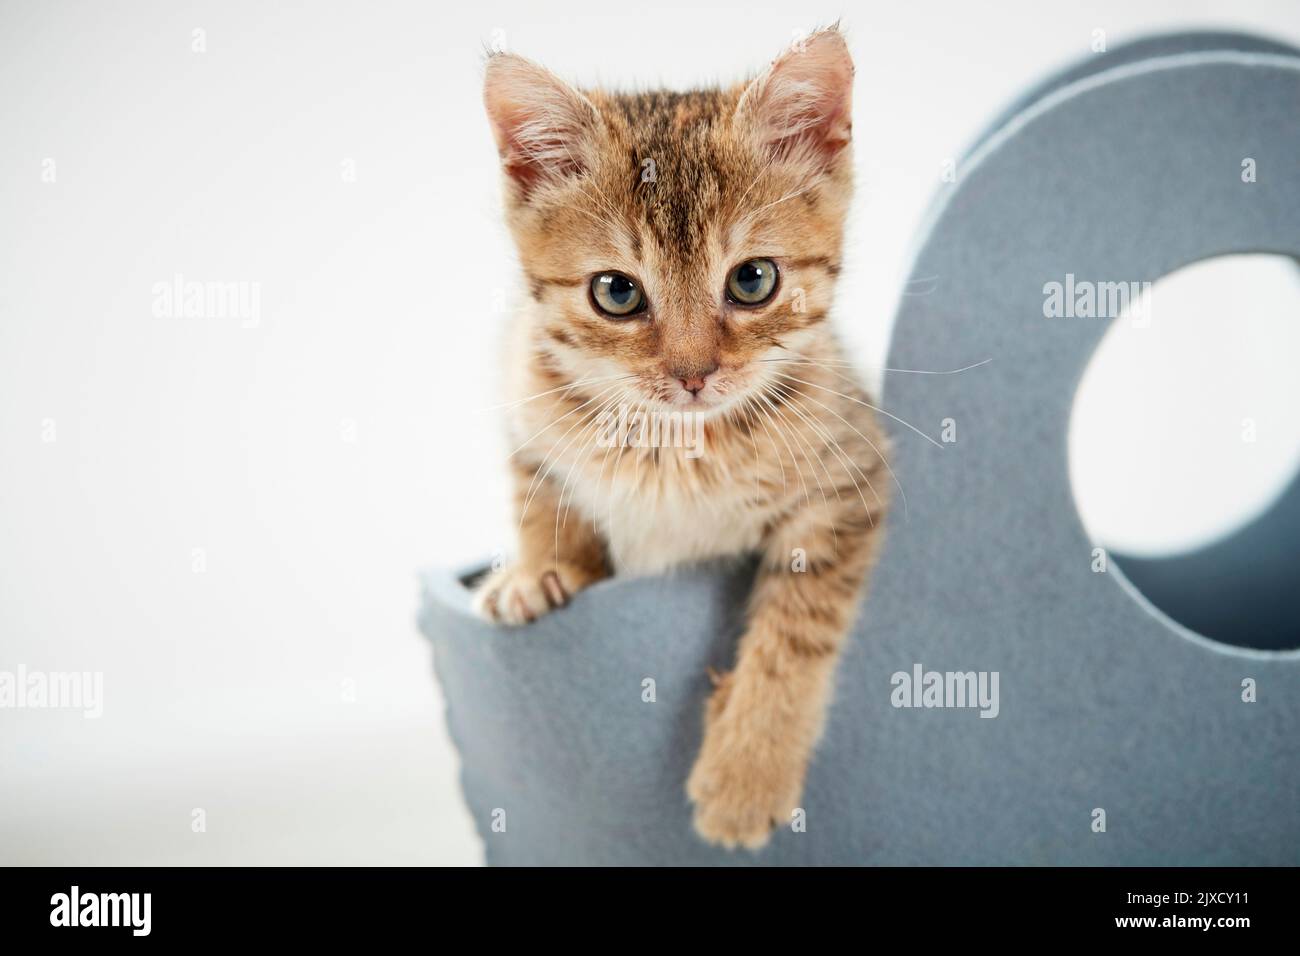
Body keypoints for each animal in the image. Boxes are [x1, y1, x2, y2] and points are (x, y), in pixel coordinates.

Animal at [478, 26, 894, 848]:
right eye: (616, 292)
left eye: (753, 280)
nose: (693, 373)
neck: (676, 446)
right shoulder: (526, 404)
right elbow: (538, 490)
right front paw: (538, 570)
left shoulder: (849, 479)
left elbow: (798, 627)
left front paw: (747, 770)